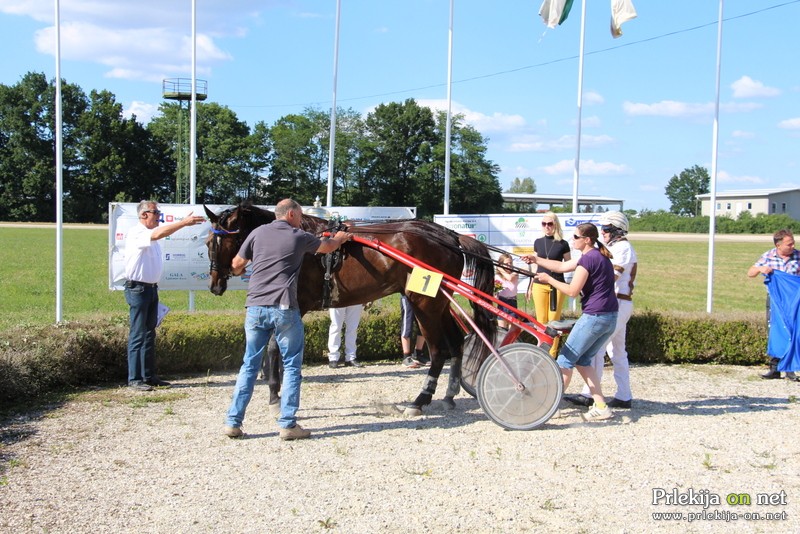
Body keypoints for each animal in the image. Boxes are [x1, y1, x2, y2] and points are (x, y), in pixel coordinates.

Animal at [205, 203, 494, 416]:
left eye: (219, 243)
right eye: (208, 242)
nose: (215, 284)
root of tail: (449, 236)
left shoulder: (294, 305)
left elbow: (275, 347)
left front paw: (275, 394)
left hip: (424, 303)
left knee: (438, 351)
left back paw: (419, 400)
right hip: (439, 303)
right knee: (456, 342)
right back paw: (449, 395)